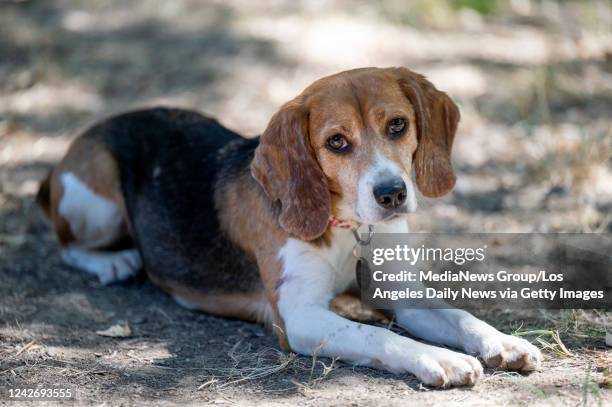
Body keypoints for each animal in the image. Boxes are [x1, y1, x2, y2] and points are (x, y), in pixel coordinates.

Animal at [37, 67, 540, 388]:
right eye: (336, 142)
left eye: (398, 125)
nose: (392, 194)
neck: (349, 230)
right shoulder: (298, 317)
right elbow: (379, 336)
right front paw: (439, 358)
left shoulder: (403, 294)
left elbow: (460, 315)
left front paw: (503, 342)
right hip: (97, 198)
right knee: (65, 244)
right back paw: (115, 261)